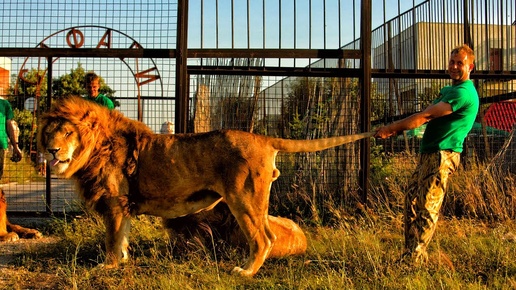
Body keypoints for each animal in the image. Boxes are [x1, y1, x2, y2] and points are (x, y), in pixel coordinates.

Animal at [38, 97, 372, 276]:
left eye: (67, 133)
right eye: (49, 133)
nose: (52, 151)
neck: (93, 149)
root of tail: (263, 138)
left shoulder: (115, 203)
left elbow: (112, 240)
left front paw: (107, 267)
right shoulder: (122, 207)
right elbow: (122, 239)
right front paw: (121, 261)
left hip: (243, 200)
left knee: (263, 238)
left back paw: (245, 272)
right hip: (254, 202)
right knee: (268, 235)